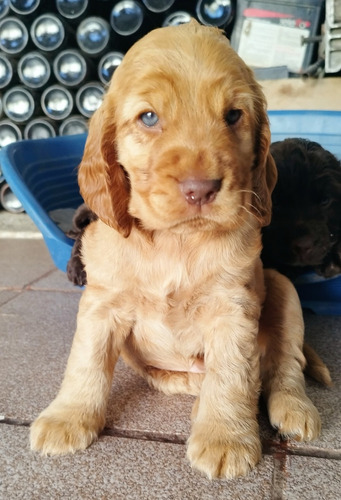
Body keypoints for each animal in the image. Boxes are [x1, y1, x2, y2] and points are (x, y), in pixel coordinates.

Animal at [30, 20, 320, 480]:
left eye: (233, 115)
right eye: (149, 117)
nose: (201, 189)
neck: (174, 242)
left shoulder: (232, 306)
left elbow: (232, 372)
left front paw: (224, 437)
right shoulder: (101, 304)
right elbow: (85, 362)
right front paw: (67, 417)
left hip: (283, 288)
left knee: (283, 365)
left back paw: (292, 408)